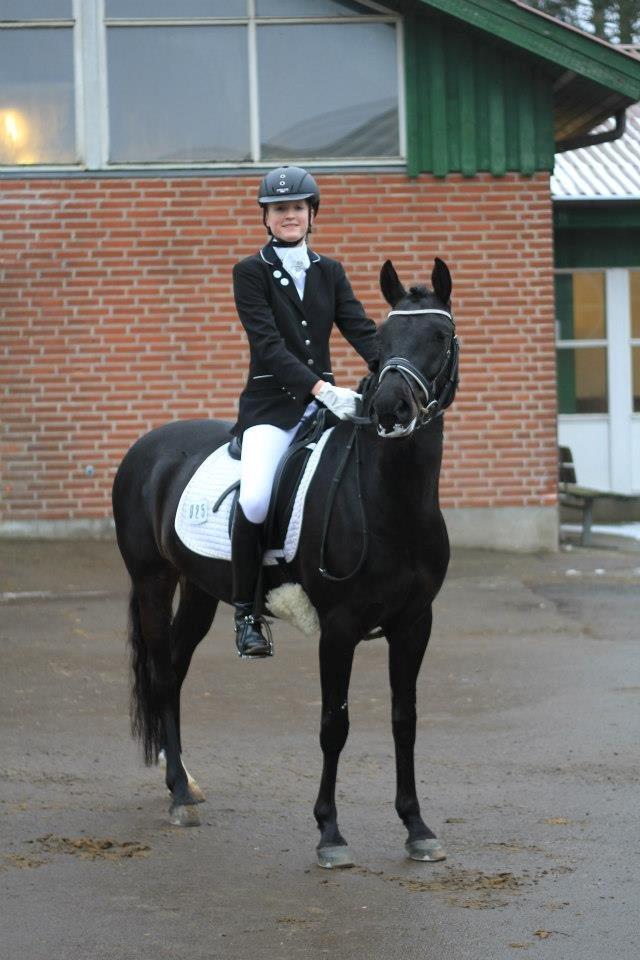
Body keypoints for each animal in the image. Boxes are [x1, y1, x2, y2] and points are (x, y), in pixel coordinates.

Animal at [112, 257, 459, 867]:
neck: (391, 501)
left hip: (199, 590)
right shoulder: (339, 628)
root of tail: (147, 447)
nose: (390, 410)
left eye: (439, 337)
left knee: (174, 671)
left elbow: (405, 720)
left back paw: (185, 783)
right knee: (161, 674)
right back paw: (178, 796)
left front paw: (416, 827)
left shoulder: (415, 622)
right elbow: (334, 724)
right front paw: (330, 834)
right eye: (383, 341)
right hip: (153, 581)